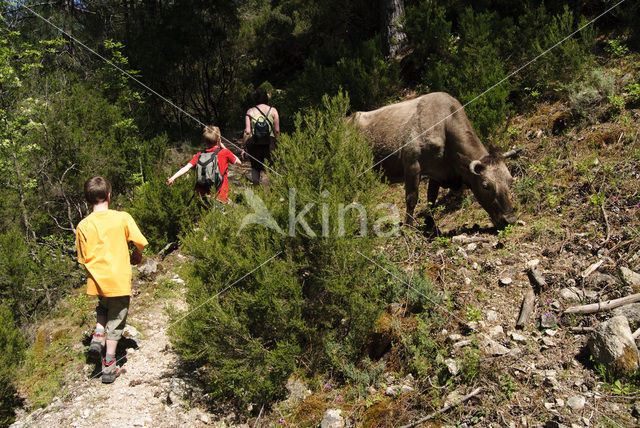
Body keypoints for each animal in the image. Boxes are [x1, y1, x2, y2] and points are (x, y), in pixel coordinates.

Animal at [352, 92, 516, 229]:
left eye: (510, 182)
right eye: (485, 185)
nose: (510, 220)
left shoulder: (436, 173)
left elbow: (431, 199)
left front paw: (430, 224)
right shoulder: (412, 166)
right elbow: (412, 198)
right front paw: (408, 227)